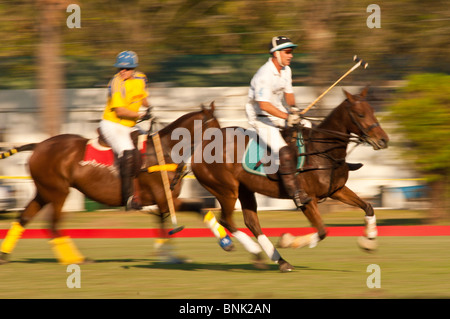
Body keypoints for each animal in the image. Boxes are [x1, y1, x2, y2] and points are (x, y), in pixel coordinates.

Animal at [0, 102, 221, 264]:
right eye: (214, 129)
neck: (166, 150)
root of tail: (38, 145)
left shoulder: (163, 201)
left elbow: (164, 224)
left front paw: (170, 257)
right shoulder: (165, 199)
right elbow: (198, 208)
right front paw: (224, 241)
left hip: (44, 191)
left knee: (23, 218)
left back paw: (4, 255)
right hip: (58, 191)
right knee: (53, 225)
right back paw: (76, 259)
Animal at [192, 88, 388, 272]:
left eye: (373, 110)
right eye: (360, 114)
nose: (384, 140)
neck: (323, 150)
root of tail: (200, 148)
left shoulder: (337, 190)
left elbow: (368, 207)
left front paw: (369, 240)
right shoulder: (308, 200)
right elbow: (322, 231)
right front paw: (288, 240)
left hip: (245, 190)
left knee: (252, 223)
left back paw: (278, 261)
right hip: (226, 191)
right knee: (226, 220)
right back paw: (253, 251)